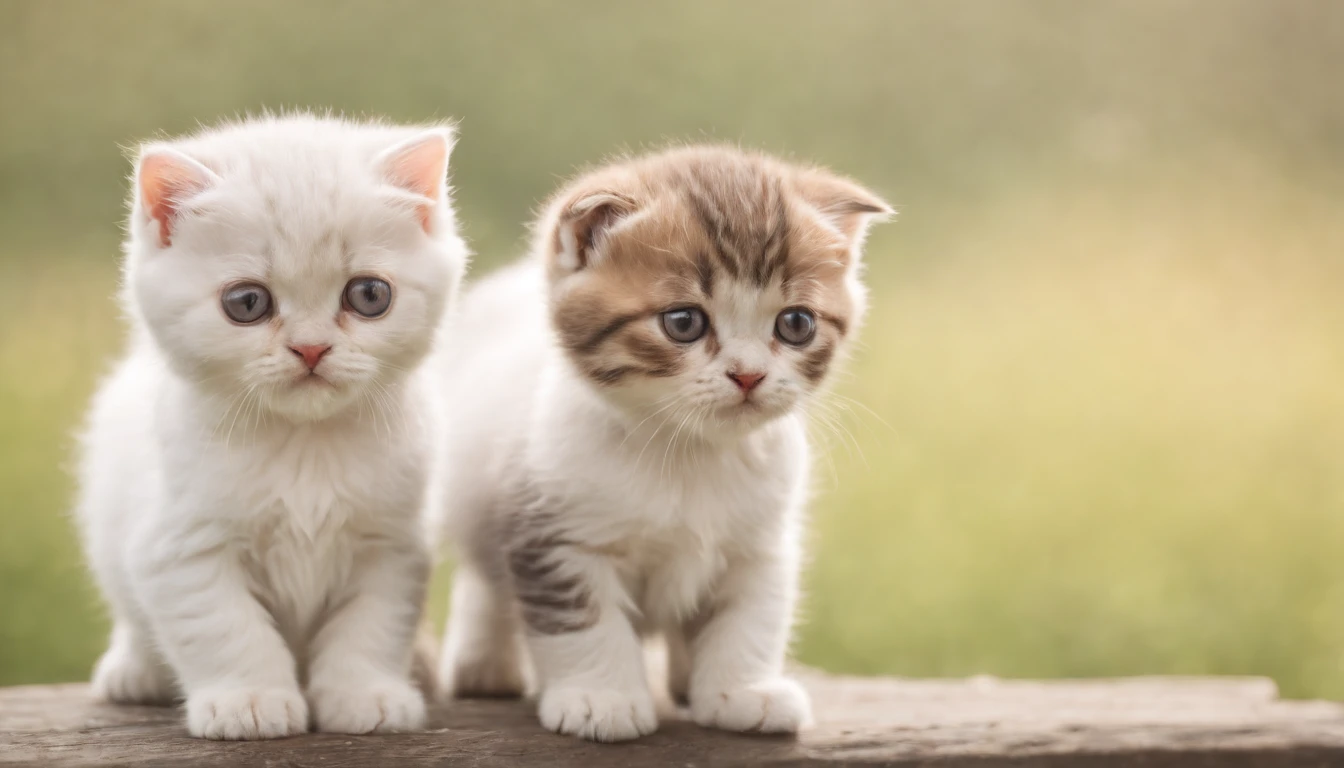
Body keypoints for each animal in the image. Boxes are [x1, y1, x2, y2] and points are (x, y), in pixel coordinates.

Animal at [78, 114, 470, 737]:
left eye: (369, 295)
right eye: (246, 302)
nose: (310, 348)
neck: (303, 447)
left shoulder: (391, 545)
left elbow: (371, 624)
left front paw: (366, 695)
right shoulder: (179, 548)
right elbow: (224, 626)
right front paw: (251, 700)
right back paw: (134, 671)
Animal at [435, 145, 887, 747]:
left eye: (796, 323)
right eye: (683, 321)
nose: (748, 375)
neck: (687, 453)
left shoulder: (761, 543)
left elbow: (751, 617)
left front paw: (742, 691)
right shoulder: (554, 532)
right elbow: (583, 621)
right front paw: (600, 698)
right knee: (485, 577)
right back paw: (483, 666)